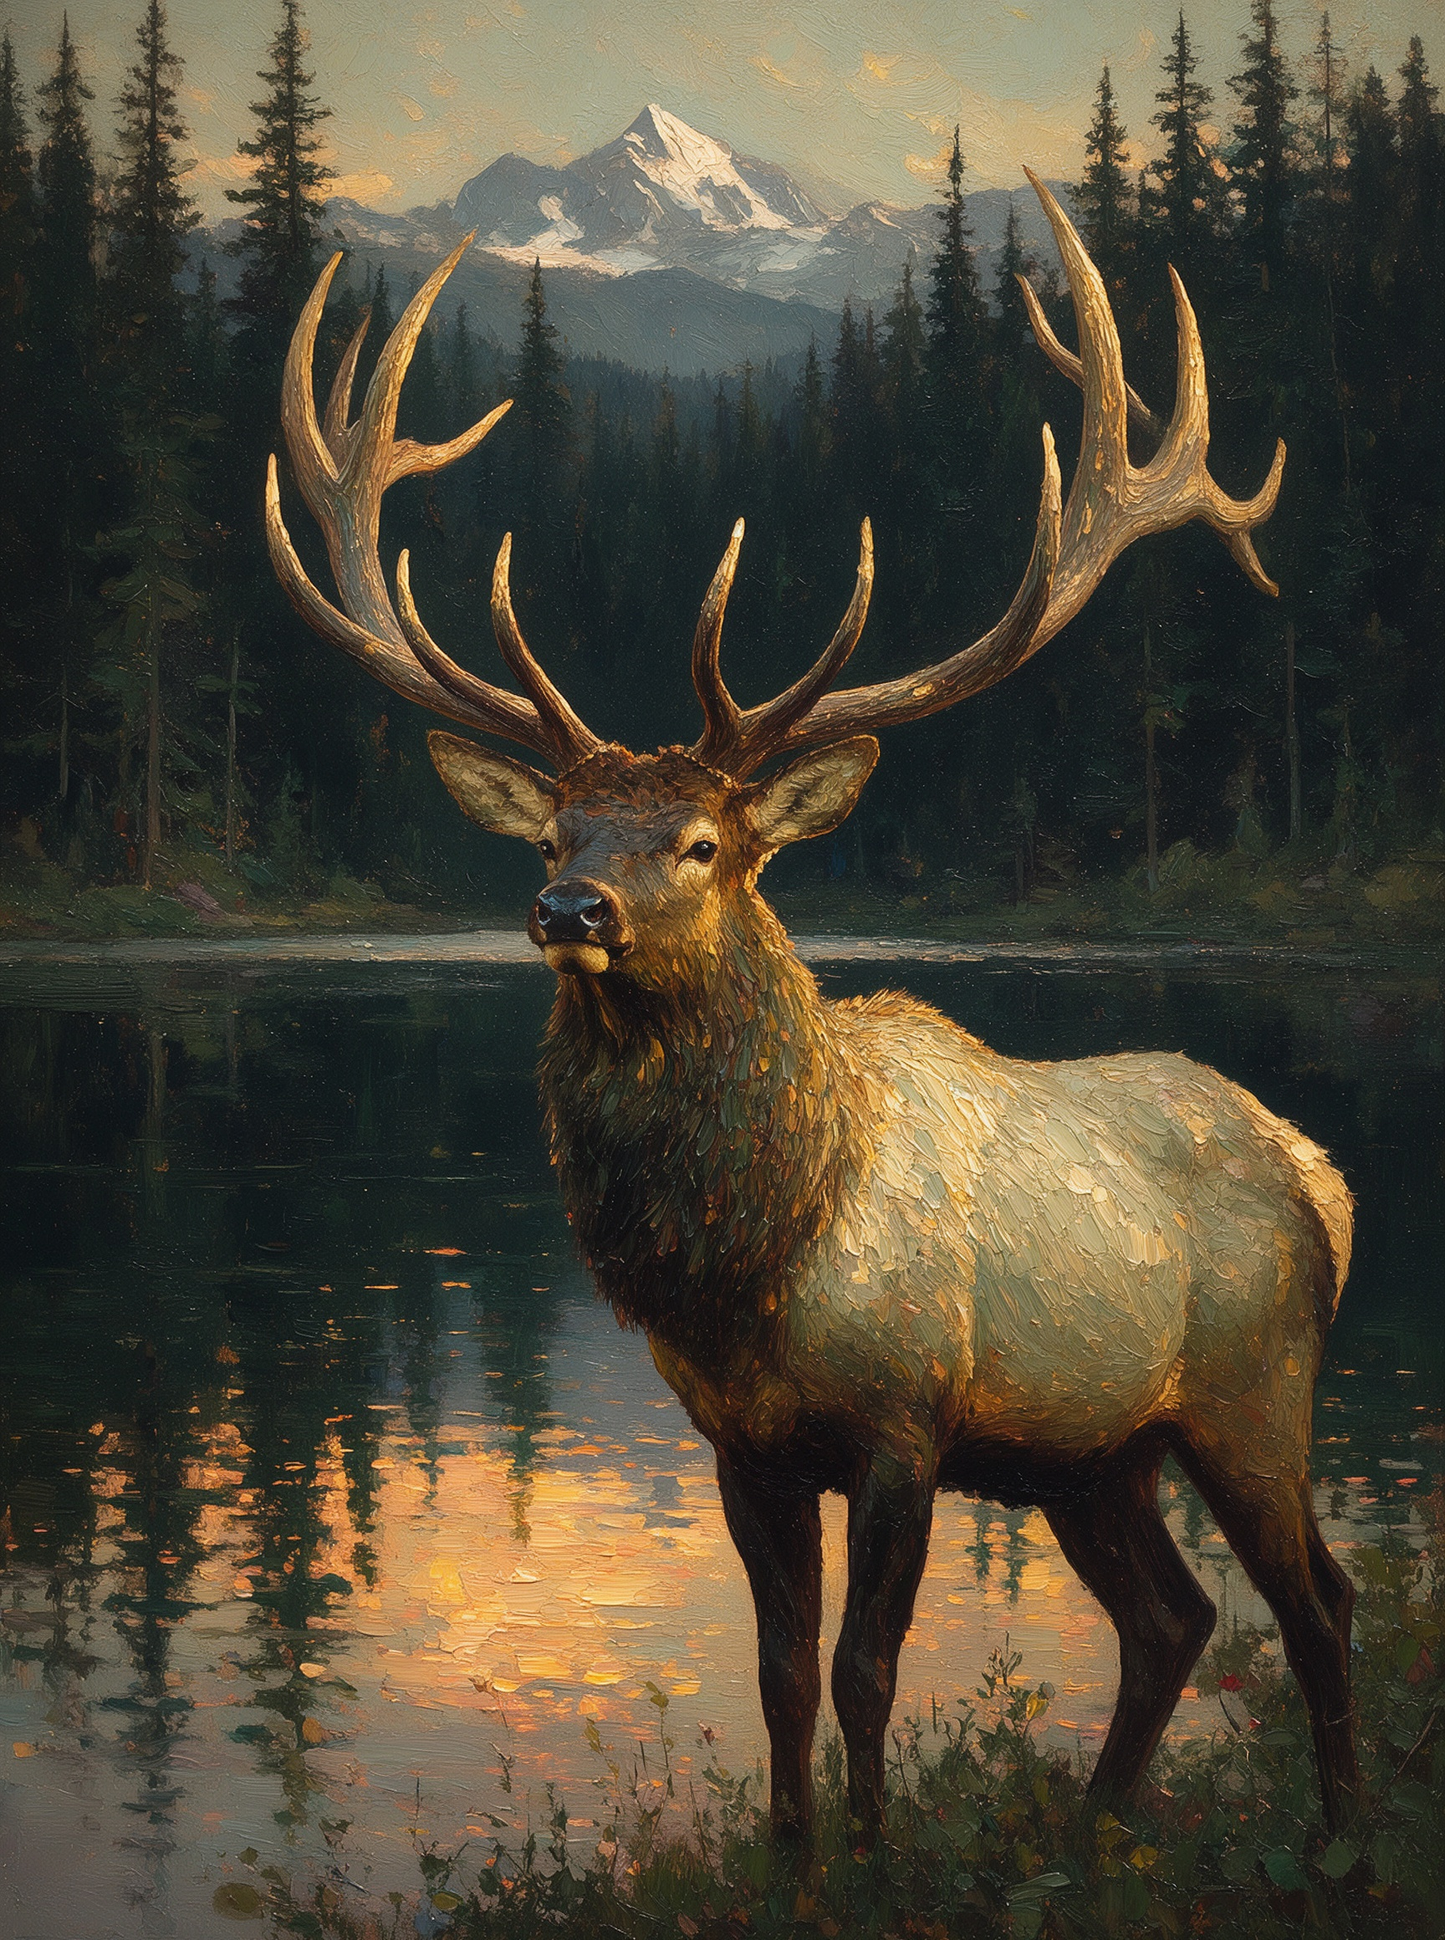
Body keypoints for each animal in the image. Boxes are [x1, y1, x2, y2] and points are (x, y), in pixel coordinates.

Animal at [265, 176, 1358, 1845]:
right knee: (1173, 1619)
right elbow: (780, 1677)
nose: (567, 913)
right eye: (553, 834)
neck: (757, 1254)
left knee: (1319, 1605)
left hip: (1250, 1389)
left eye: (702, 844)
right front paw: (792, 1854)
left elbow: (865, 1673)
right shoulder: (746, 1447)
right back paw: (1096, 1826)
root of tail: (1321, 1172)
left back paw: (1341, 1830)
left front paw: (874, 1853)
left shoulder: (905, 1427)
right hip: (1093, 1454)